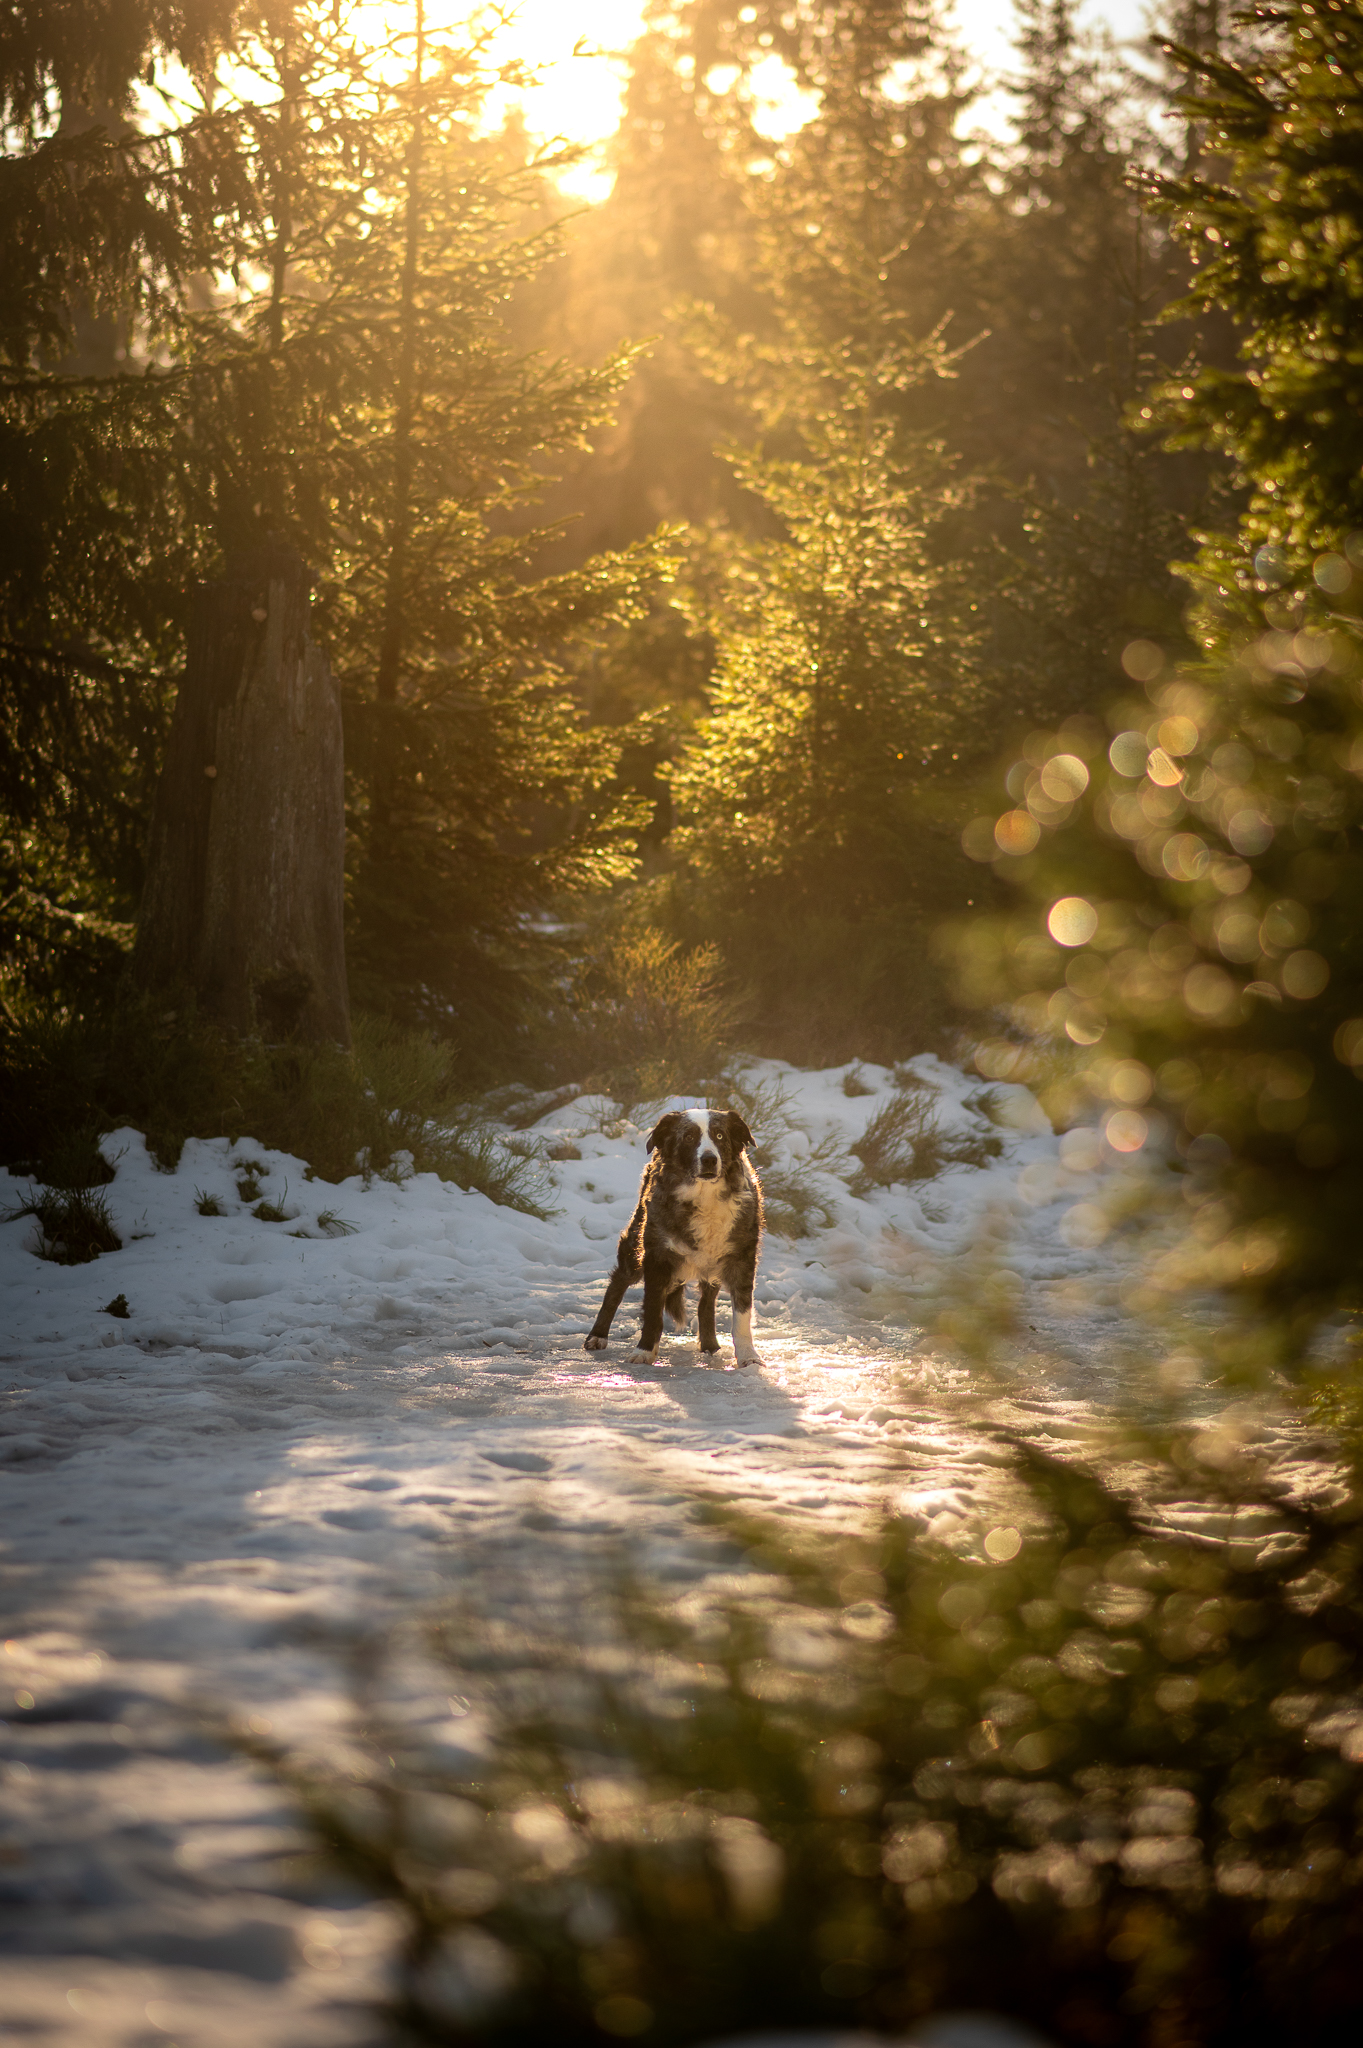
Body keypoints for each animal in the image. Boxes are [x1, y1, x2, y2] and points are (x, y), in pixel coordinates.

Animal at [577, 1114, 757, 1368]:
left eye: (720, 1135)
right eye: (689, 1137)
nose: (709, 1159)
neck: (704, 1196)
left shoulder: (742, 1258)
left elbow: (742, 1315)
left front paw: (749, 1357)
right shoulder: (656, 1257)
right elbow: (653, 1310)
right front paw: (644, 1351)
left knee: (706, 1303)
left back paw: (710, 1345)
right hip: (635, 1248)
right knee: (617, 1284)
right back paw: (597, 1335)